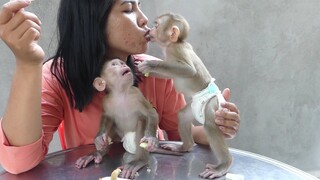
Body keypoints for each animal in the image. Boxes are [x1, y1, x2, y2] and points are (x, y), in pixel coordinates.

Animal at [138, 13, 232, 179]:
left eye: (156, 25)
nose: (150, 29)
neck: (170, 45)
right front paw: (145, 70)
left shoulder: (176, 49)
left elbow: (189, 70)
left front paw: (151, 65)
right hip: (193, 107)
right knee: (182, 115)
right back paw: (184, 147)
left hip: (214, 103)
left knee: (209, 123)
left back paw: (223, 165)